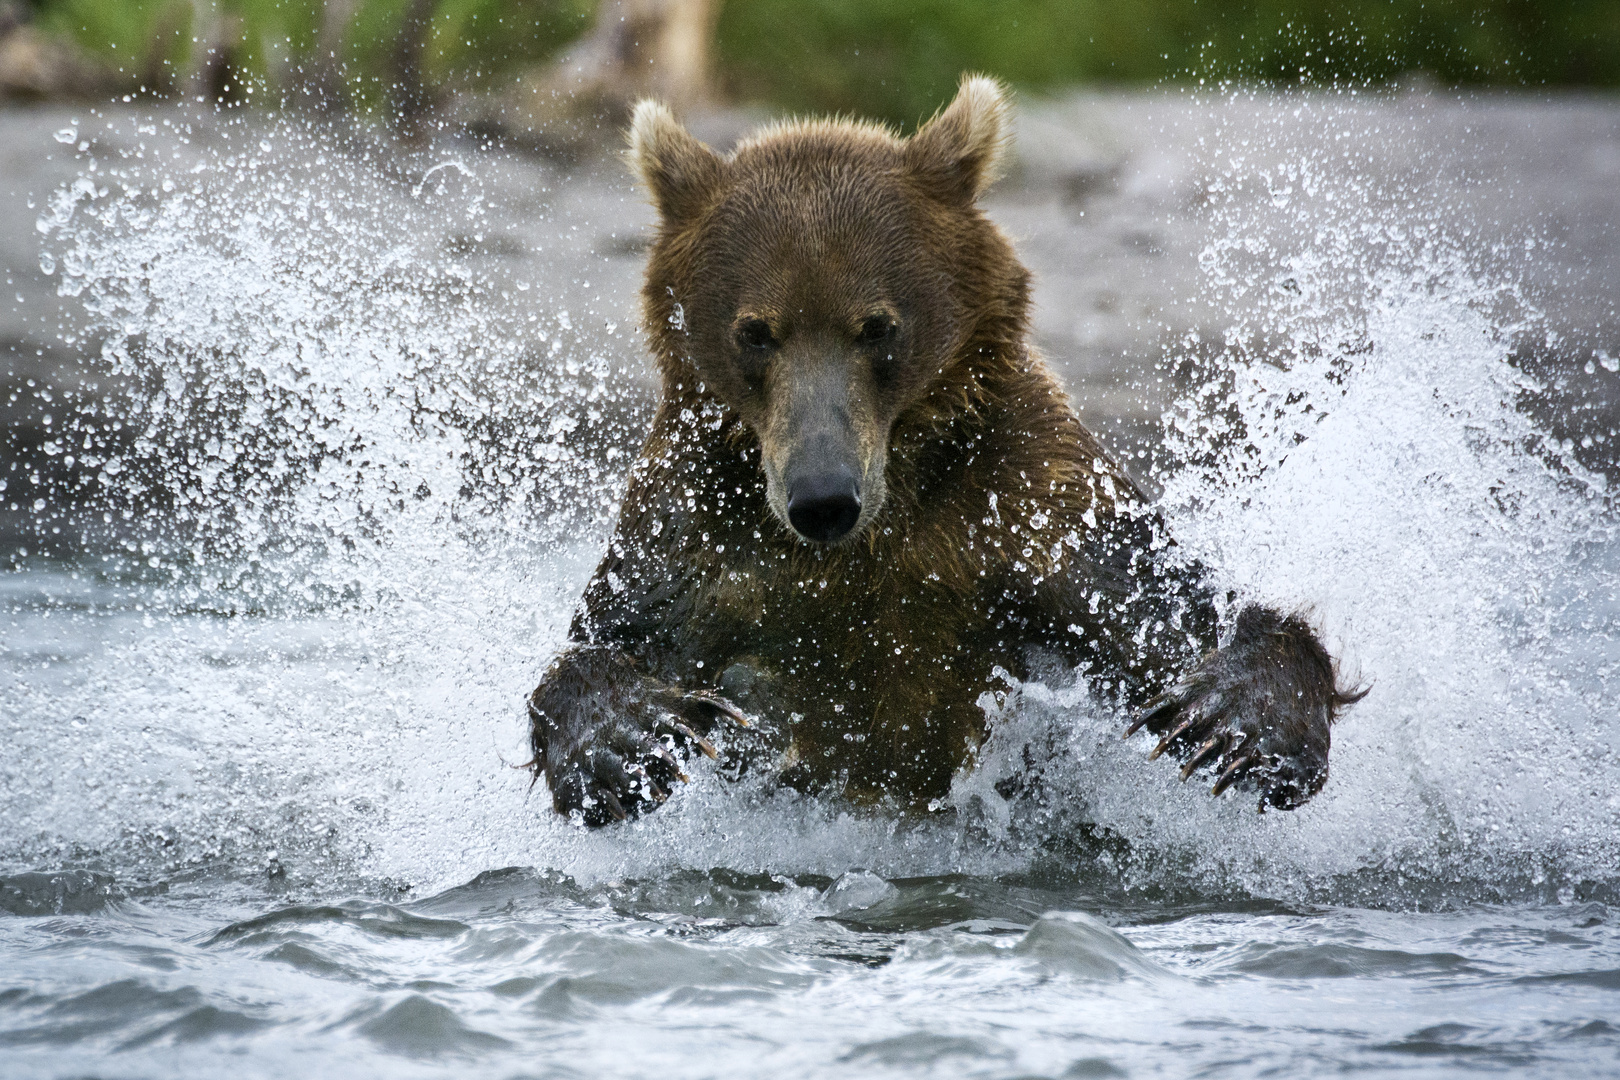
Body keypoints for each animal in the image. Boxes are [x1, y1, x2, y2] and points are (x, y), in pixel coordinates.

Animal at [524, 76, 1360, 829]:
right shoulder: (707, 524)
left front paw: (1239, 718)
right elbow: (621, 631)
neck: (891, 503)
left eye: (876, 326)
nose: (822, 499)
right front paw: (624, 742)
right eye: (755, 331)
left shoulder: (1024, 500)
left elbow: (1158, 611)